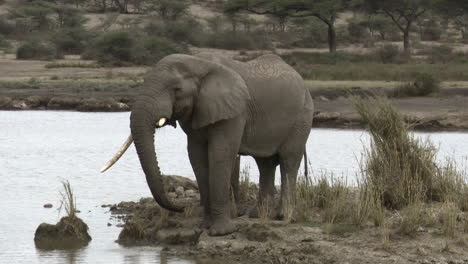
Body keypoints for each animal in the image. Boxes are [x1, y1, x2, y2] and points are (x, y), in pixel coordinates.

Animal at [102, 52, 314, 236]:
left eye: (177, 90)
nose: (181, 208)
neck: (198, 64)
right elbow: (196, 157)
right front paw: (204, 226)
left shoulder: (235, 110)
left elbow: (221, 153)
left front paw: (221, 232)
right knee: (265, 163)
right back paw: (259, 215)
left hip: (302, 116)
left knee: (288, 160)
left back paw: (284, 217)